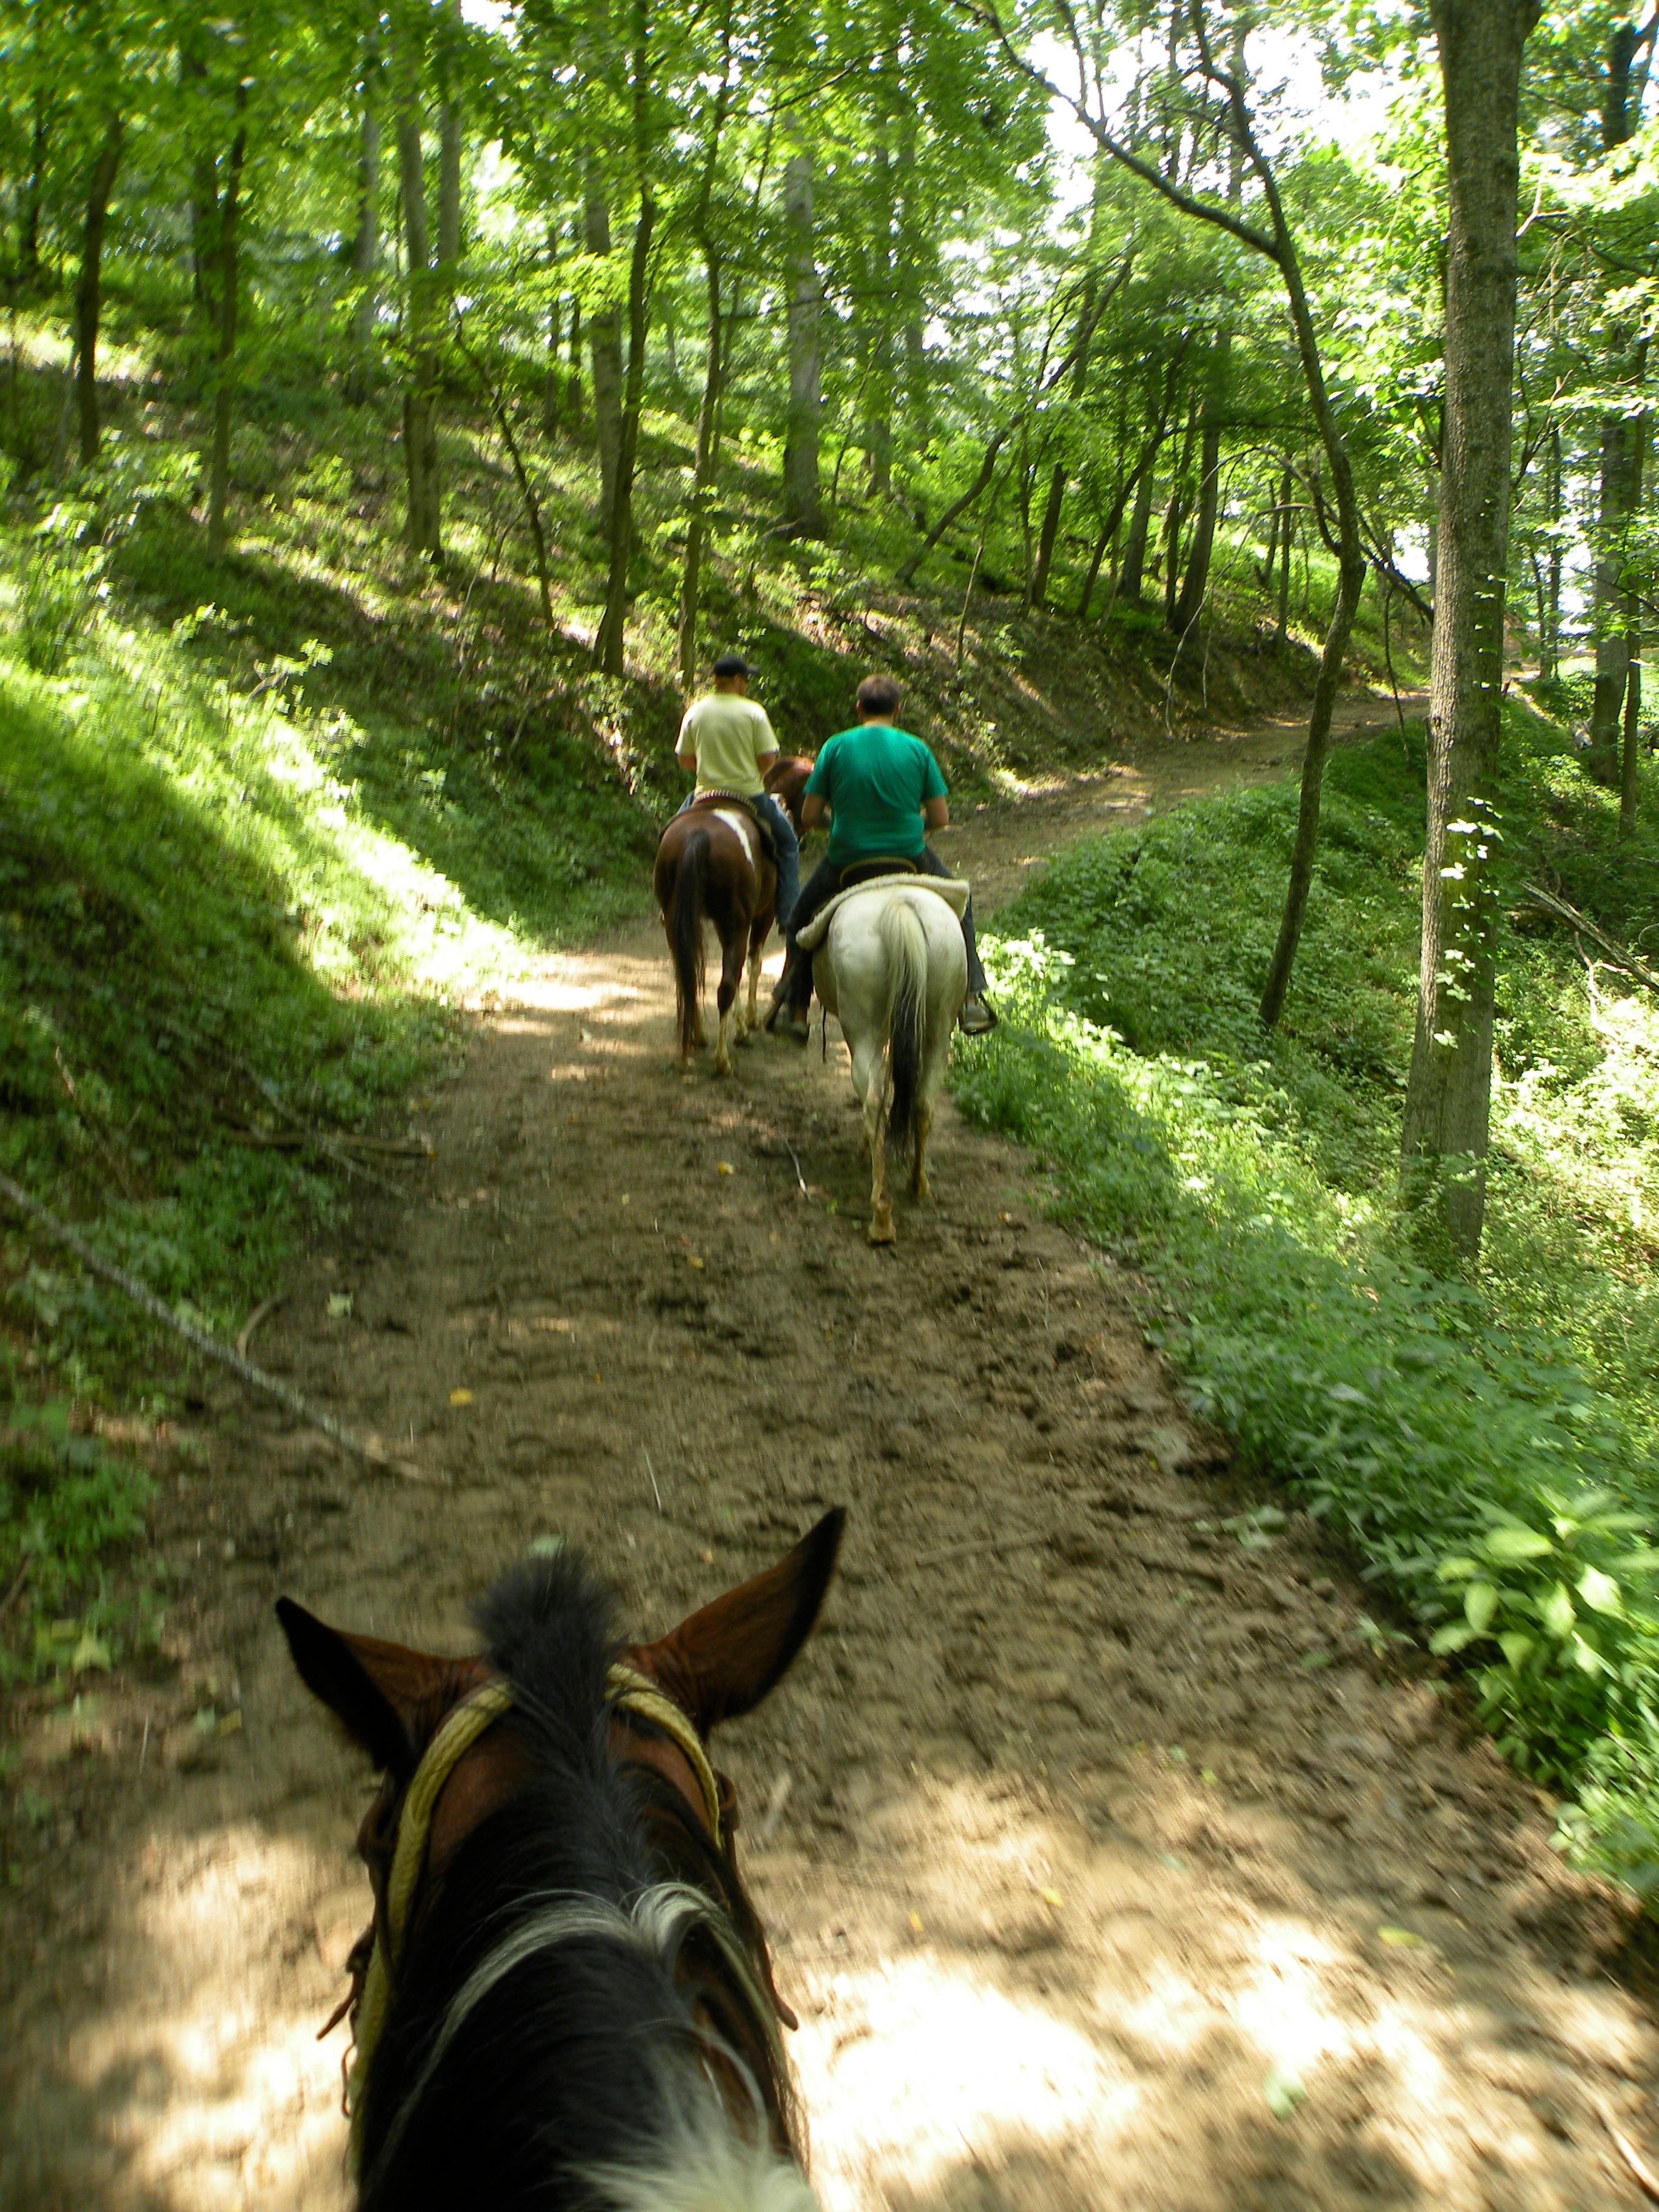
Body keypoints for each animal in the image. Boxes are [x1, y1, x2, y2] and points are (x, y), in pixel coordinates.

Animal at [654, 800, 779, 1074]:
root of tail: (697, 836)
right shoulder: (764, 914)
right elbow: (755, 964)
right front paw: (748, 1022)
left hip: (679, 922)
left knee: (688, 978)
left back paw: (697, 1036)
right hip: (738, 925)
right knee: (726, 987)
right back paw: (722, 1060)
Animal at [800, 876, 968, 1247]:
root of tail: (899, 905)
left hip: (863, 1029)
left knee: (874, 1100)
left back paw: (880, 1217)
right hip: (938, 1028)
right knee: (922, 1102)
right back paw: (918, 1185)